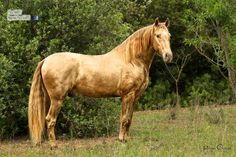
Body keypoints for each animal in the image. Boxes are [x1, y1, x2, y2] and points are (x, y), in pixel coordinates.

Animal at [28, 17, 173, 147]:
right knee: (50, 120)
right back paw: (54, 145)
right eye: (157, 35)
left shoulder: (135, 97)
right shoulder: (127, 95)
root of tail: (46, 60)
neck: (131, 59)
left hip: (49, 99)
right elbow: (124, 119)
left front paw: (126, 140)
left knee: (44, 119)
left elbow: (129, 119)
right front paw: (121, 140)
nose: (168, 56)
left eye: (169, 36)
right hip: (57, 99)